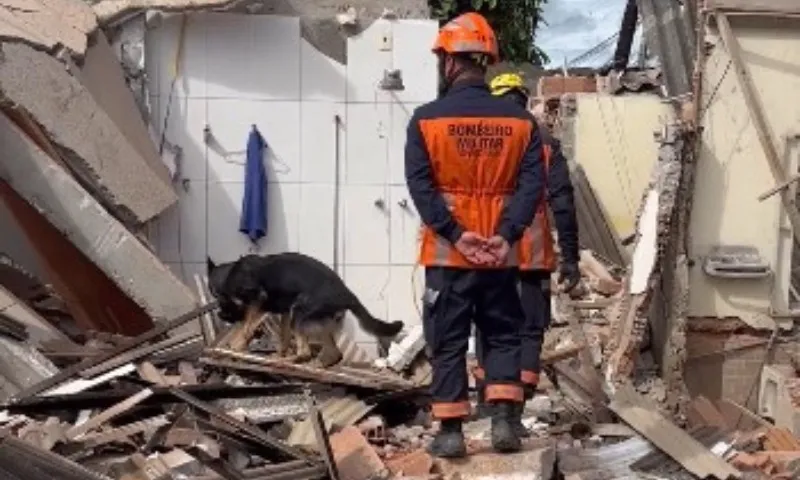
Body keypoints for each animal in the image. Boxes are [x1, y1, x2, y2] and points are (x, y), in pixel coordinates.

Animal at [209, 253, 404, 366]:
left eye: (220, 300)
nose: (220, 314)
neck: (229, 274)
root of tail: (347, 294)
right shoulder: (284, 313)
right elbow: (282, 337)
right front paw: (278, 352)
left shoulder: (259, 299)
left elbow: (246, 327)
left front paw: (236, 346)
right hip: (312, 321)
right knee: (335, 353)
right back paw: (316, 364)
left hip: (299, 314)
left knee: (305, 352)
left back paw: (289, 361)